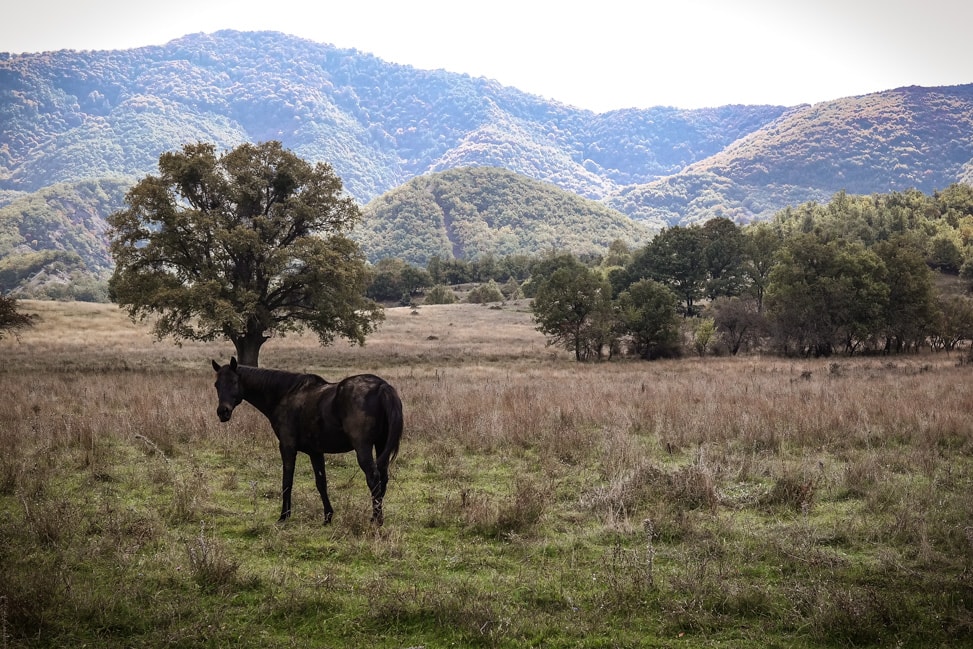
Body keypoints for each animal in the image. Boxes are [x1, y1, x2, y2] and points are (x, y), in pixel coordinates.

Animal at [211, 357, 403, 526]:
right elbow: (321, 483)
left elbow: (287, 481)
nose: (222, 412)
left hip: (363, 448)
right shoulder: (315, 452)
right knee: (382, 478)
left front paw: (284, 516)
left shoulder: (287, 446)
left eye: (234, 382)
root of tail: (381, 386)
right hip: (380, 445)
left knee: (374, 478)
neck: (285, 395)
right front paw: (327, 517)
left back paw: (376, 521)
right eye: (216, 385)